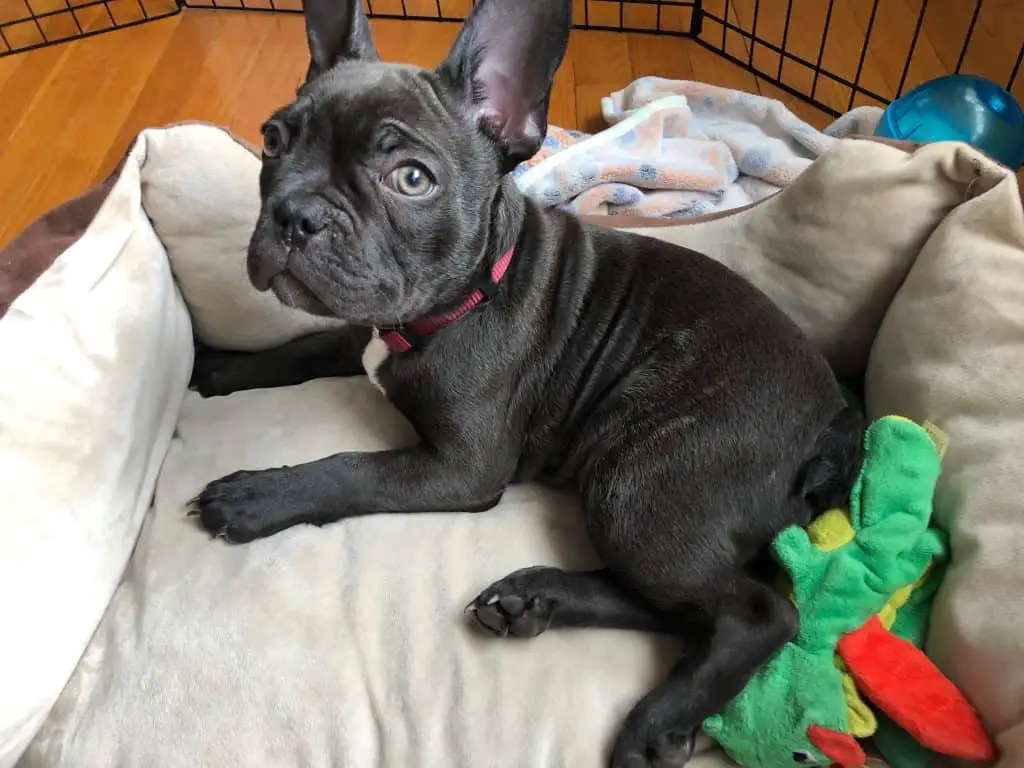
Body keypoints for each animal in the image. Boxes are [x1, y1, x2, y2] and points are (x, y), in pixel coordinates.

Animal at [188, 3, 860, 765]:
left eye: (410, 179)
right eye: (273, 141)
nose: (297, 213)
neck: (458, 298)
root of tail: (833, 422)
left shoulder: (462, 467)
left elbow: (348, 468)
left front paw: (256, 495)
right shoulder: (361, 324)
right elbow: (302, 346)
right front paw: (224, 367)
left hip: (641, 484)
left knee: (753, 611)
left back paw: (652, 723)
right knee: (682, 606)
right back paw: (534, 601)